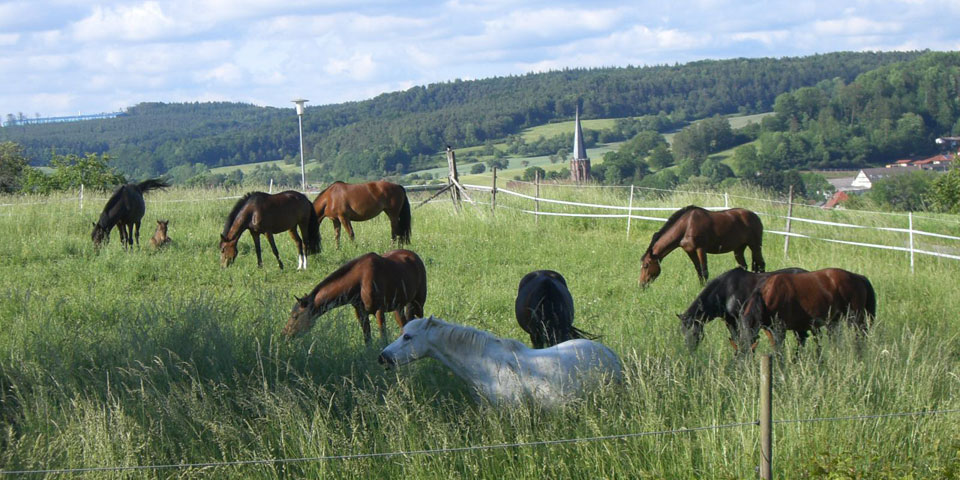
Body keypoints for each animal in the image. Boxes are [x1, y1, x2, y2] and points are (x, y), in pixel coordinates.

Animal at [282, 249, 424, 344]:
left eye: (295, 316)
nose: (284, 334)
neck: (361, 280)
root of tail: (414, 256)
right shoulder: (360, 313)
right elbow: (367, 338)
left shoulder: (379, 311)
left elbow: (383, 337)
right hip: (398, 308)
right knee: (404, 324)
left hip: (418, 303)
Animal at [636, 205, 764, 286]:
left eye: (646, 265)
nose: (641, 285)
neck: (686, 225)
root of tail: (755, 216)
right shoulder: (690, 251)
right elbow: (698, 271)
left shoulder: (700, 249)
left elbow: (704, 271)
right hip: (738, 249)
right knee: (744, 266)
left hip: (755, 246)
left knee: (761, 264)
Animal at [680, 264, 808, 350]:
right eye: (683, 332)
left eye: (693, 332)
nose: (689, 351)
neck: (727, 290)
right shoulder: (730, 322)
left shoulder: (739, 321)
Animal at [736, 266, 876, 352]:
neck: (767, 296)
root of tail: (858, 277)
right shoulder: (770, 331)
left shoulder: (780, 330)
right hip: (834, 322)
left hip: (855, 320)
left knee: (860, 337)